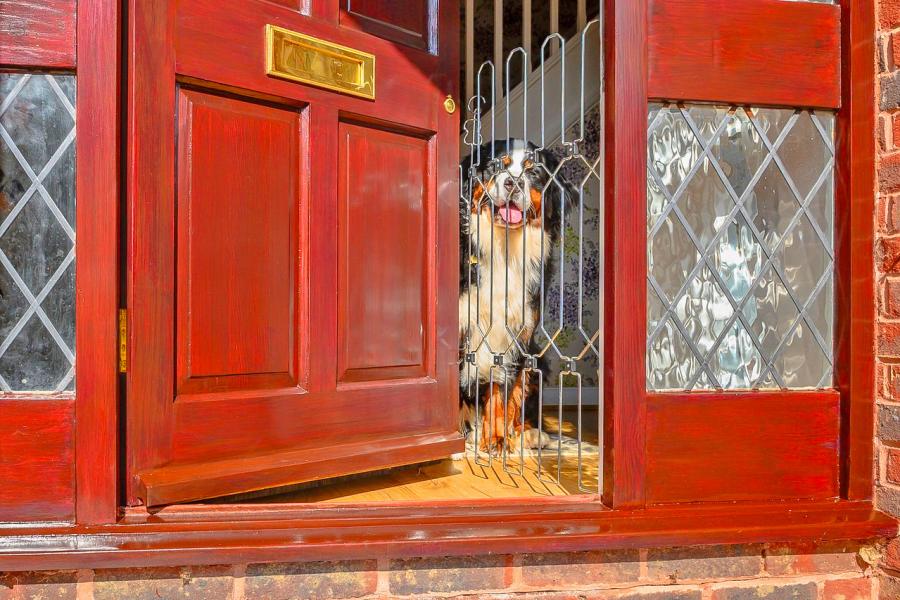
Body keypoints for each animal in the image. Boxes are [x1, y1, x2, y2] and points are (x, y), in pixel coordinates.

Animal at [460, 138, 572, 452]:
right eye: (498, 165)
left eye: (533, 171)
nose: (513, 183)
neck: (504, 250)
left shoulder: (515, 334)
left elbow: (501, 391)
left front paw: (496, 438)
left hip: (536, 360)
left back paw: (528, 435)